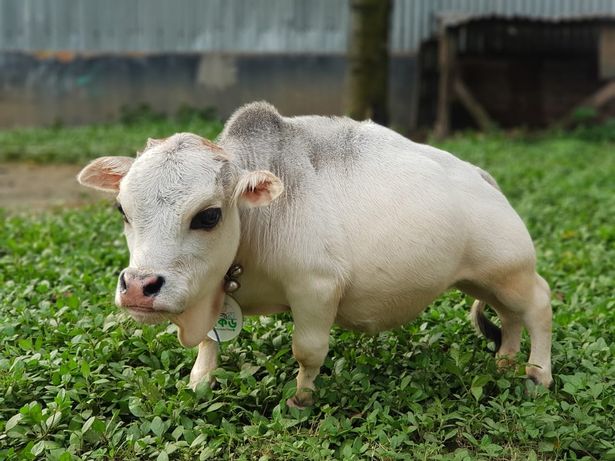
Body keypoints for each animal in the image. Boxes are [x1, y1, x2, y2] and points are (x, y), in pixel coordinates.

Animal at [77, 101, 552, 406]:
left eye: (208, 215)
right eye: (122, 209)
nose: (138, 287)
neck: (255, 225)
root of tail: (484, 179)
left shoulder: (316, 289)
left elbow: (307, 351)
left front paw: (301, 399)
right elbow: (210, 344)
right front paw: (199, 382)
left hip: (510, 272)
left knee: (539, 305)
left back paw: (537, 373)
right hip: (482, 282)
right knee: (510, 317)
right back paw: (505, 362)